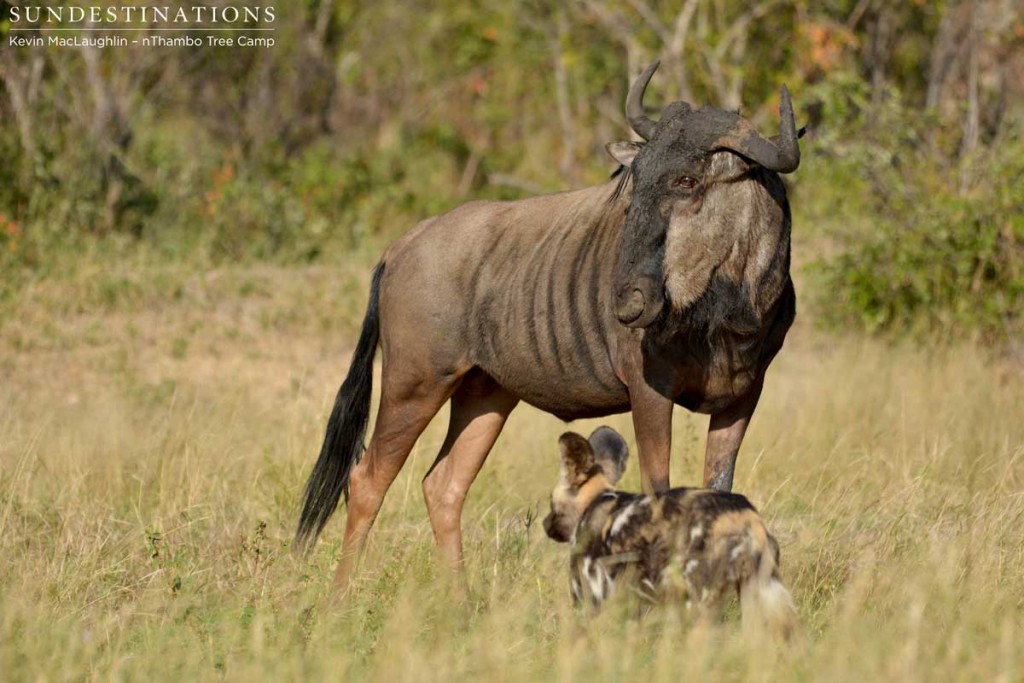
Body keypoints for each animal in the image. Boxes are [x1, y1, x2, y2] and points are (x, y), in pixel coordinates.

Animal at [544, 428, 798, 643]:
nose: (545, 523)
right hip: (753, 591)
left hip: (699, 599)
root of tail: (747, 519)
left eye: (551, 503)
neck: (596, 500)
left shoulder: (591, 592)